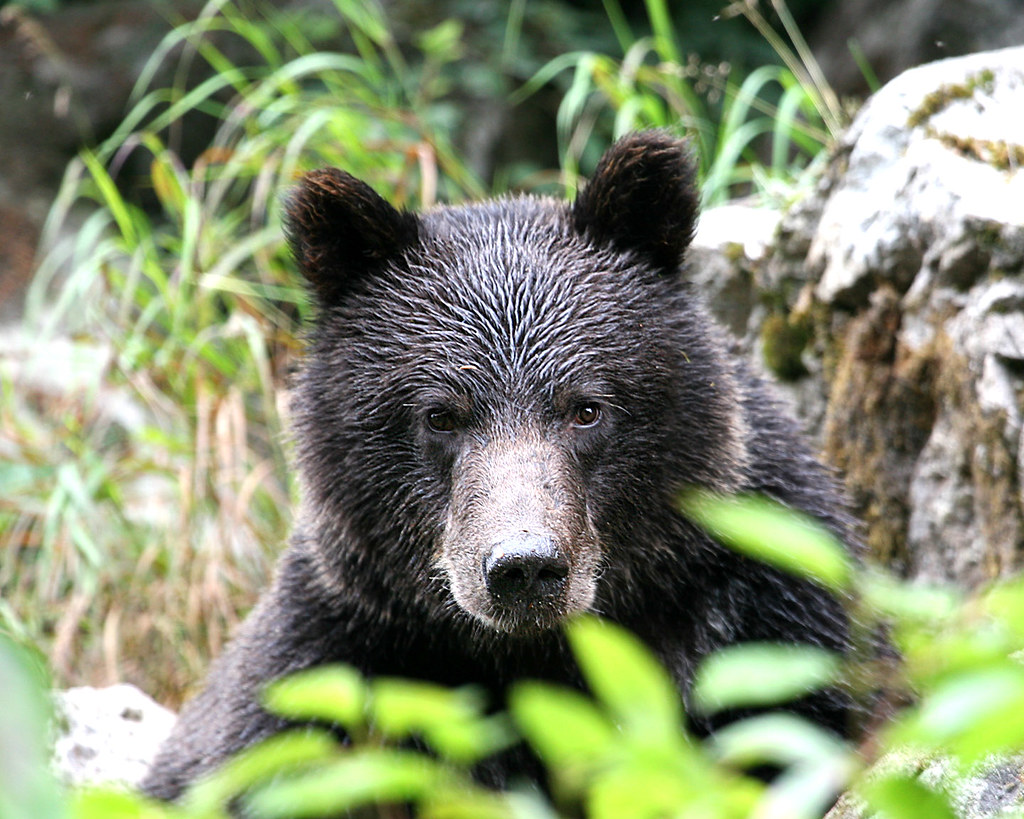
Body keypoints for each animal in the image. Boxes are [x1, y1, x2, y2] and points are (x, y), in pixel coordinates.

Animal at [140, 131, 851, 802]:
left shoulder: (768, 610)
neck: (537, 654)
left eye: (586, 408)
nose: (525, 567)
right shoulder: (334, 653)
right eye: (440, 415)